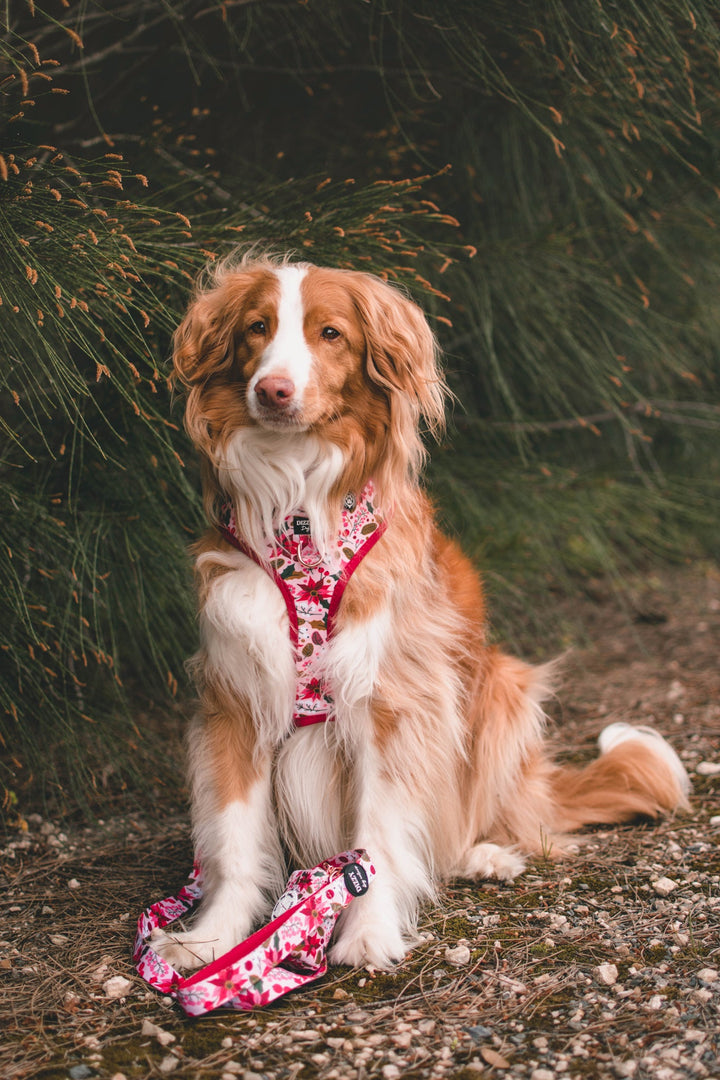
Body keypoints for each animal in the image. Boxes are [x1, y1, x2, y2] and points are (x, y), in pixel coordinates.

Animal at [153, 252, 690, 972]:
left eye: (330, 334)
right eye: (256, 329)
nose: (273, 391)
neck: (300, 516)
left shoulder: (393, 702)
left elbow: (380, 836)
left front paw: (368, 932)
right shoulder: (236, 698)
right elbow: (234, 838)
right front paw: (213, 940)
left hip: (500, 691)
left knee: (468, 819)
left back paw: (483, 855)